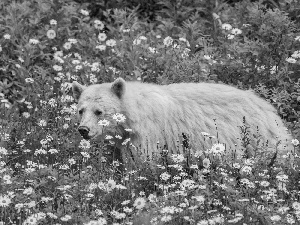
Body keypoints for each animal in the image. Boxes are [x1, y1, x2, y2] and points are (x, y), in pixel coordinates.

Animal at [71, 78, 292, 166]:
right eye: (81, 110)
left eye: (99, 111)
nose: (83, 129)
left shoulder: (150, 135)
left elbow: (145, 160)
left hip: (256, 137)